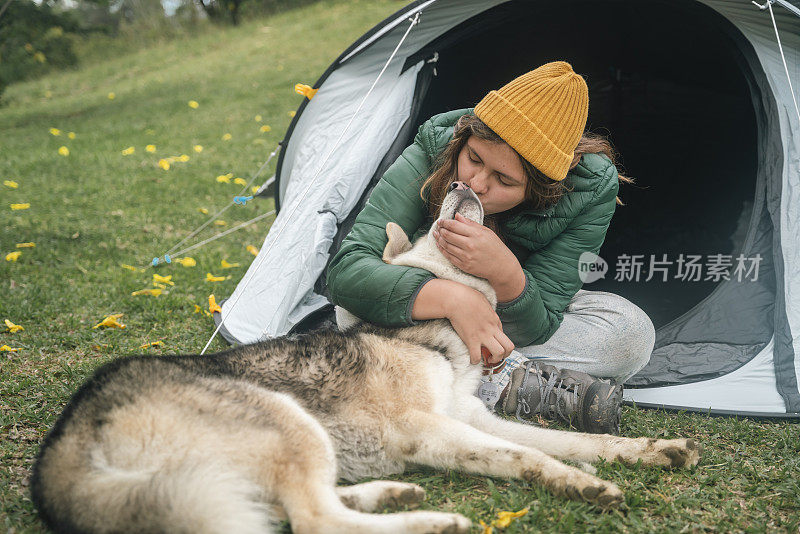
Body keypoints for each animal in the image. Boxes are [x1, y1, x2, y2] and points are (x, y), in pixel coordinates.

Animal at [32, 185, 700, 534]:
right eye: (430, 227)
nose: (462, 186)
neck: (423, 335)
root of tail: (60, 448)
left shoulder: (471, 418)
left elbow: (571, 441)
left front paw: (646, 452)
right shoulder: (427, 426)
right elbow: (529, 457)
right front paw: (584, 485)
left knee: (298, 510)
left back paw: (391, 496)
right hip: (285, 421)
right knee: (313, 520)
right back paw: (433, 521)